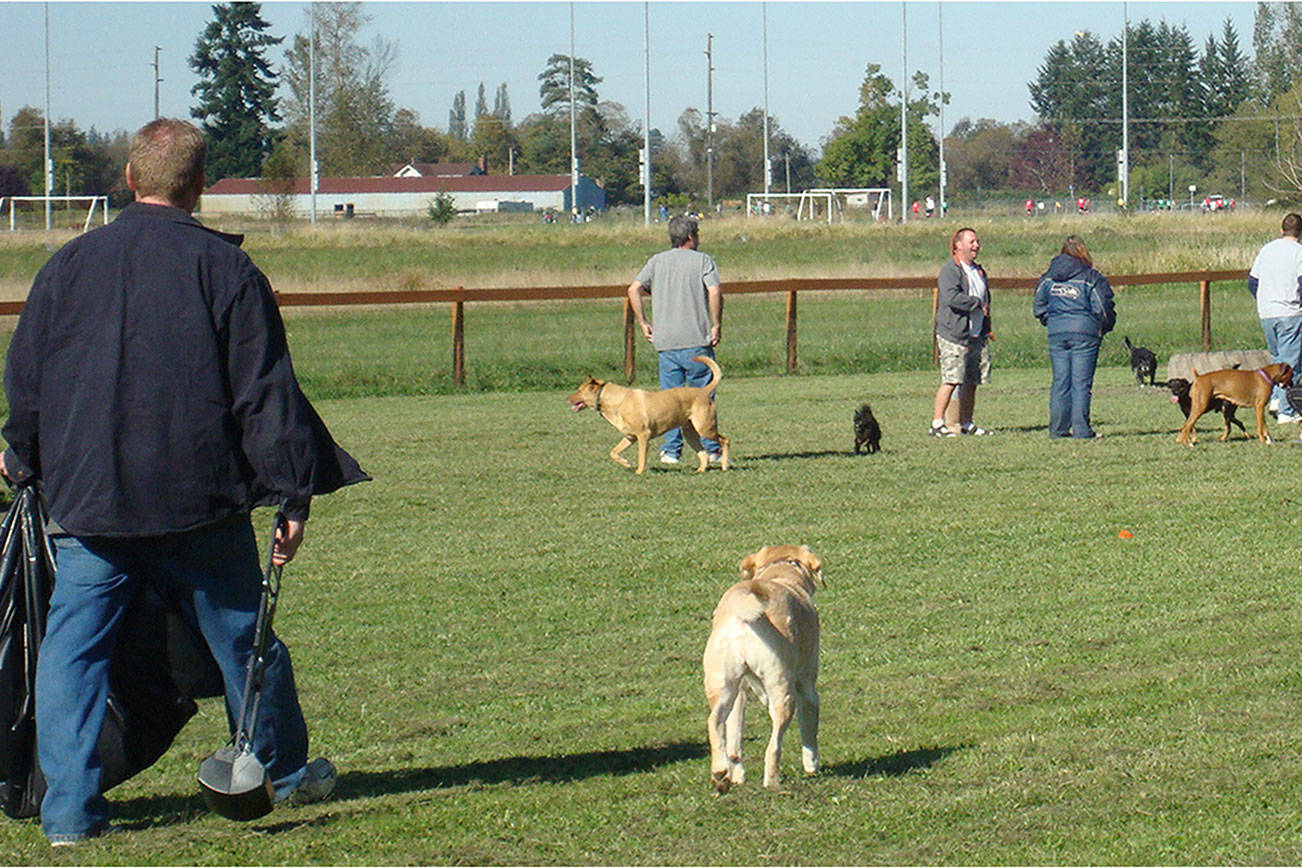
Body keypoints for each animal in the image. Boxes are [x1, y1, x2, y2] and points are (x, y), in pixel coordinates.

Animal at [567, 353, 729, 476]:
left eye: (579, 390)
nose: (567, 398)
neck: (616, 401)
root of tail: (704, 391)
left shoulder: (643, 435)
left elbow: (641, 456)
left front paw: (639, 472)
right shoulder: (629, 437)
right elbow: (613, 452)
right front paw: (626, 463)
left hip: (705, 428)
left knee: (725, 440)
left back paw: (725, 465)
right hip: (690, 433)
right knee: (703, 454)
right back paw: (700, 470)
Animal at [703, 546, 822, 796]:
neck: (780, 573)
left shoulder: (741, 693)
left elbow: (734, 742)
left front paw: (737, 777)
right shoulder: (807, 689)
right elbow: (809, 733)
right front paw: (812, 766)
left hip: (725, 690)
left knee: (717, 726)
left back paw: (721, 774)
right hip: (783, 694)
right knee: (773, 747)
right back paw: (773, 782)